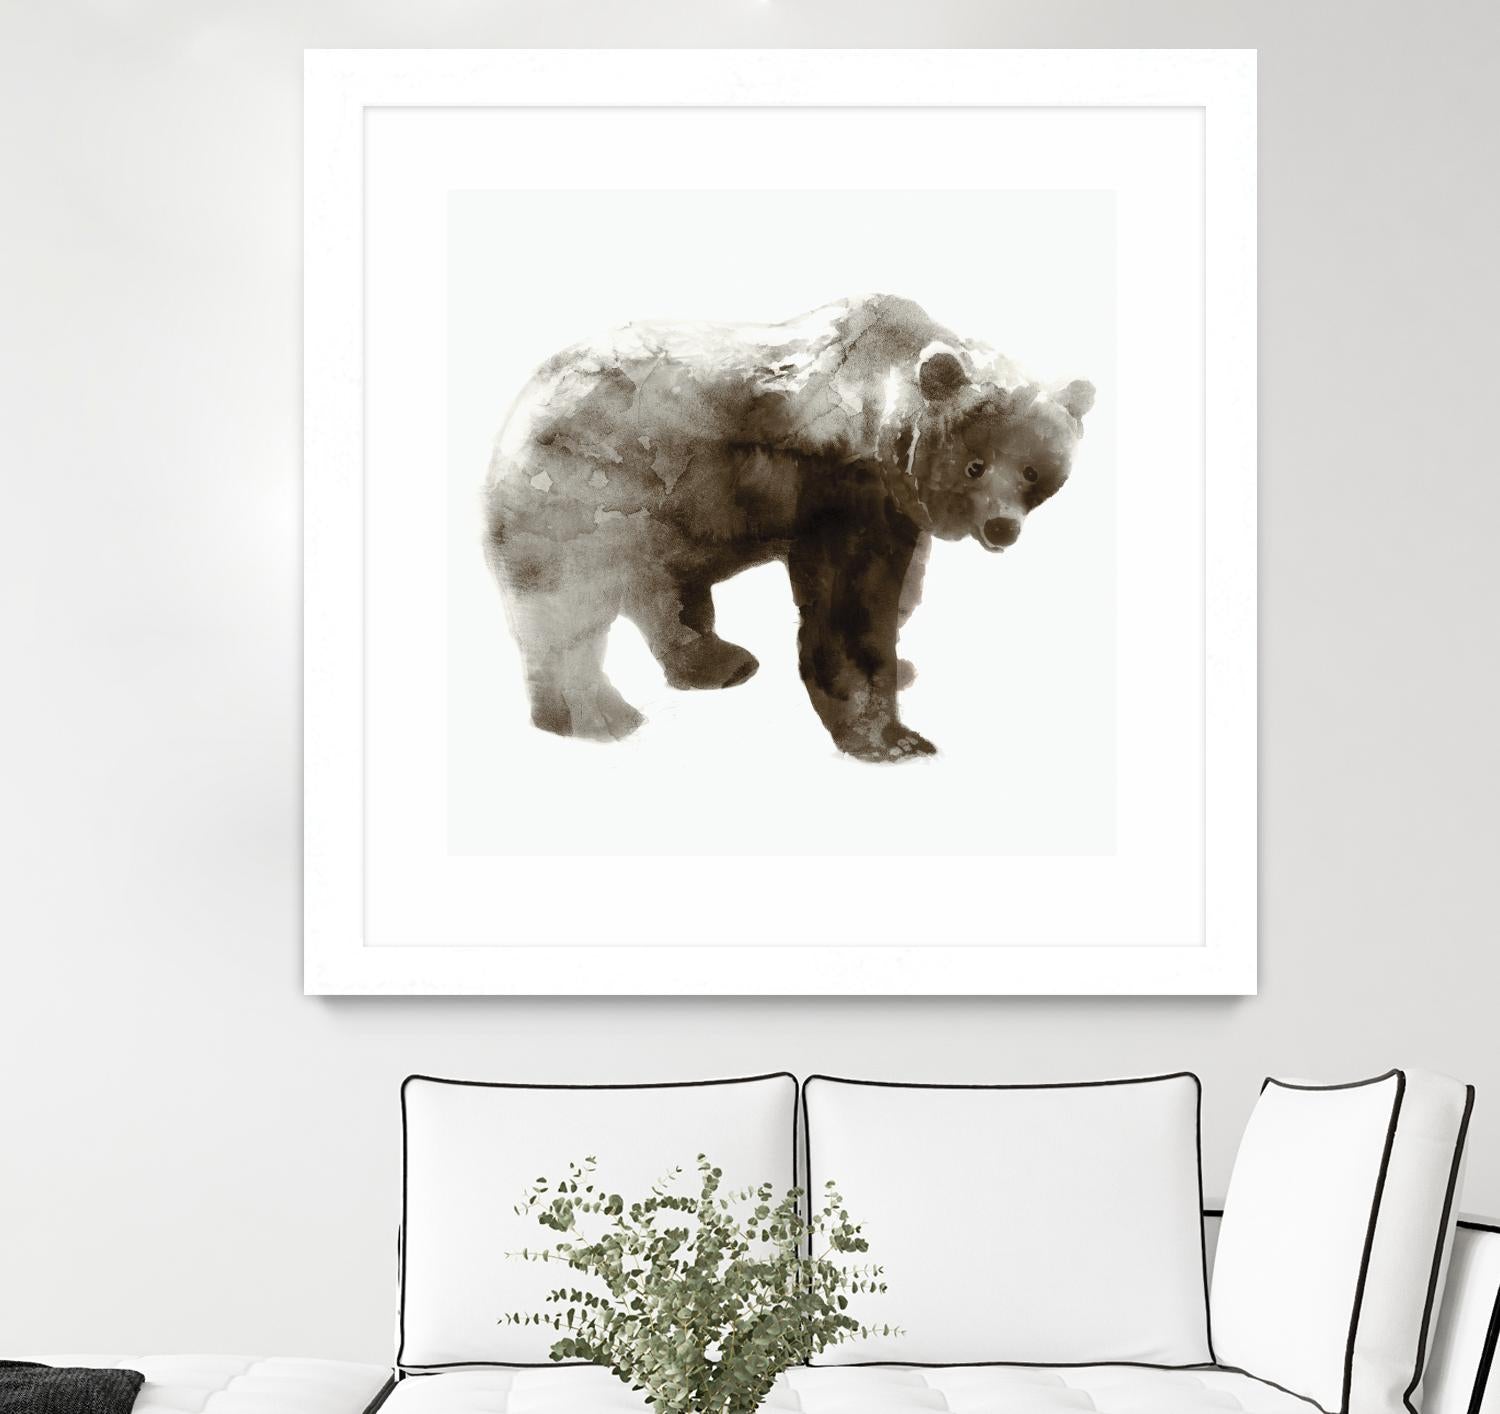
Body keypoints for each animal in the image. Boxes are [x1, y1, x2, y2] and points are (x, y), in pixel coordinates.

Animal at [483, 293, 1094, 762]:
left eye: (1034, 471)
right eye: (975, 465)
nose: (1002, 527)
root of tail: (521, 403)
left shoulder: (897, 505)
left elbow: (903, 588)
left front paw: (903, 667)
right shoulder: (839, 485)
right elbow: (850, 606)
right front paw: (894, 738)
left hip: (667, 519)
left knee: (664, 592)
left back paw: (719, 662)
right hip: (589, 492)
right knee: (568, 607)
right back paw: (597, 717)